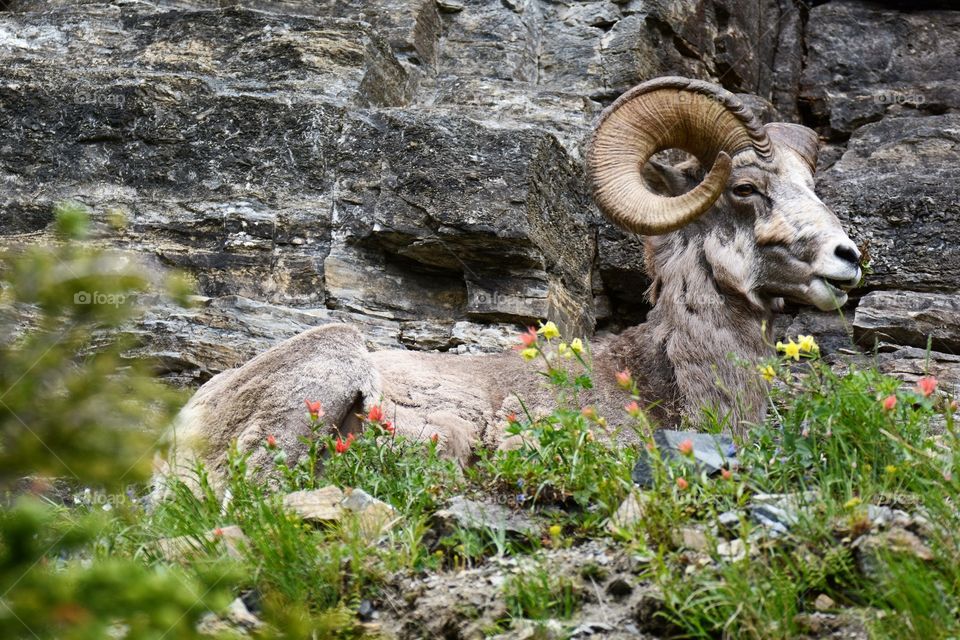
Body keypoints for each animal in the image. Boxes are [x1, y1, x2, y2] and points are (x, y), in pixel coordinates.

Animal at [155, 76, 862, 491]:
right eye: (744, 189)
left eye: (812, 185)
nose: (847, 259)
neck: (664, 381)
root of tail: (185, 430)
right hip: (328, 364)